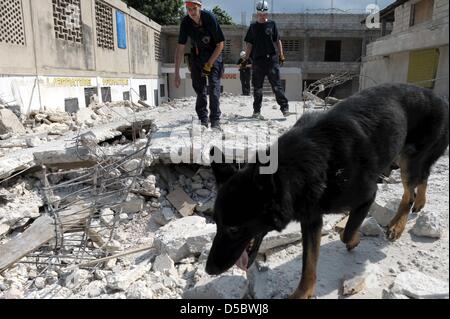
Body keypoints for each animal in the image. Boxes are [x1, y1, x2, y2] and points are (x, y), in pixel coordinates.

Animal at [206, 84, 448, 298]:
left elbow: (347, 232)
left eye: (234, 229)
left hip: (408, 160)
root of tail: (439, 98)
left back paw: (399, 223)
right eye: (216, 223)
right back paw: (420, 203)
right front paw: (302, 293)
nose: (209, 270)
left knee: (411, 189)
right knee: (422, 178)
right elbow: (309, 264)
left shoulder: (367, 196)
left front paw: (353, 240)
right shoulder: (311, 219)